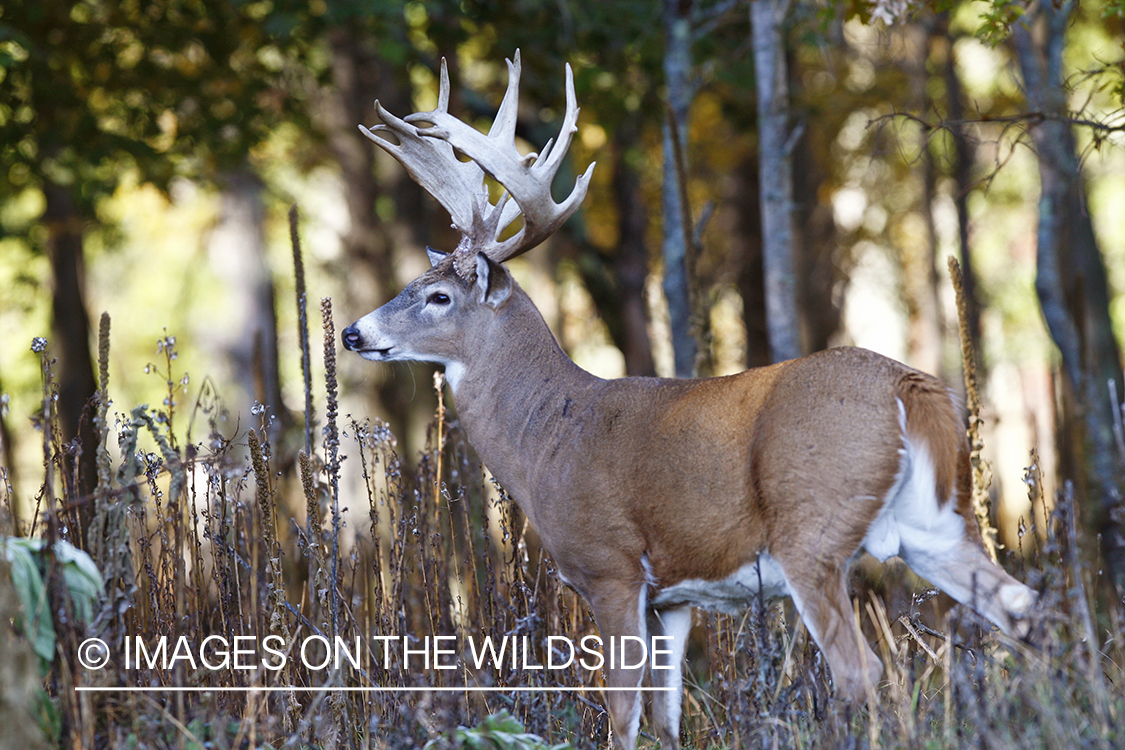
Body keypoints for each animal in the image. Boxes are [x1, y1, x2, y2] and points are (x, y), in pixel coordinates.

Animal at [342, 52, 1035, 750]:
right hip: (938, 522)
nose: (351, 332)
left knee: (861, 669)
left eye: (439, 298)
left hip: (812, 528)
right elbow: (666, 716)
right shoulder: (672, 598)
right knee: (1020, 607)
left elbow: (623, 713)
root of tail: (909, 386)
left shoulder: (611, 566)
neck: (548, 435)